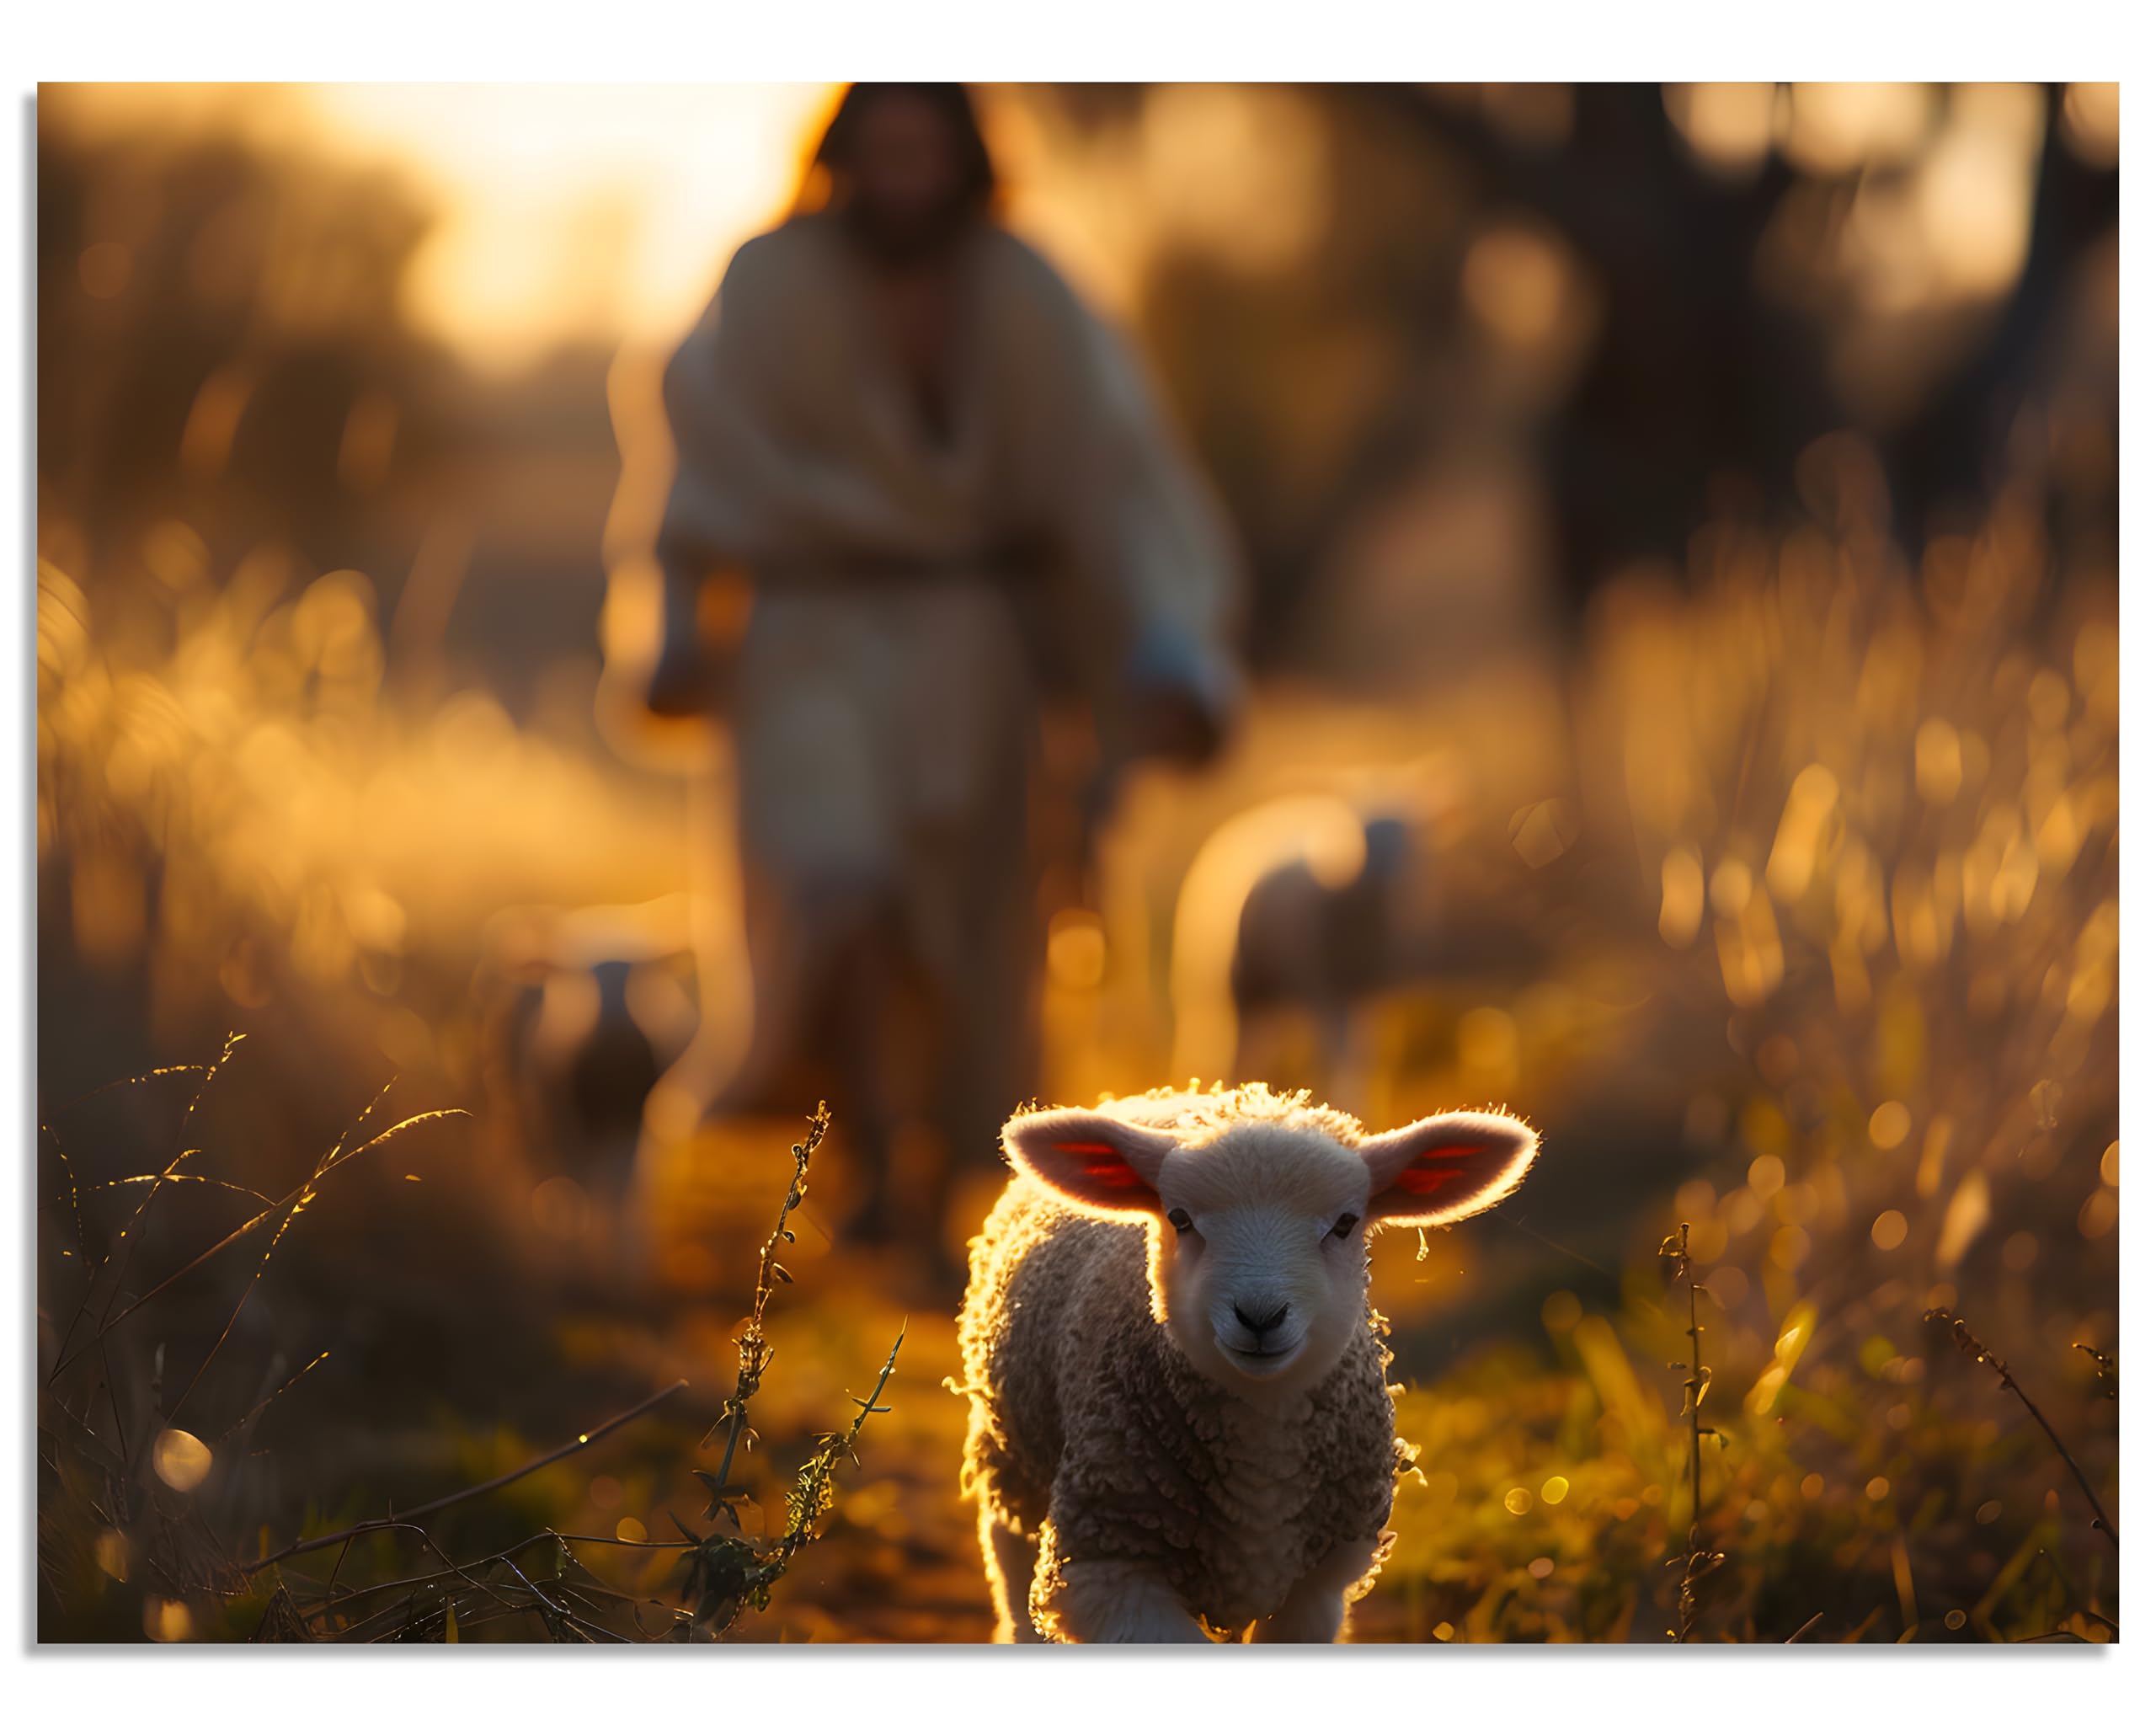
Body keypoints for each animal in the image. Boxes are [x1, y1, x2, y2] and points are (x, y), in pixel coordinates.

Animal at [956, 1082, 1540, 1643]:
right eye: (1180, 1218)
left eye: (1346, 1223)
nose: (1260, 1315)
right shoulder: (1108, 1563)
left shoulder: (1318, 1583)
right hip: (1014, 1468)